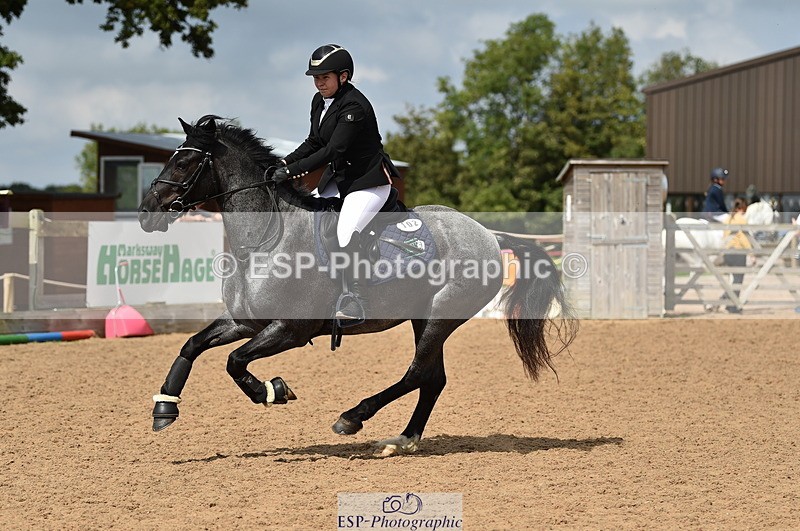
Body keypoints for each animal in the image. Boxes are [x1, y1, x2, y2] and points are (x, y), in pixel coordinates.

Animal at [137, 115, 577, 457]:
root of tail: (488, 234)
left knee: (417, 374)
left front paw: (273, 390)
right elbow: (192, 346)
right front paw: (165, 409)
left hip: (441, 317)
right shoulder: (246, 321)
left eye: (184, 162)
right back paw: (403, 439)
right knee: (432, 379)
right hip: (423, 317)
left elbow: (234, 362)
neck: (264, 239)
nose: (146, 212)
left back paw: (352, 418)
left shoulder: (289, 330)